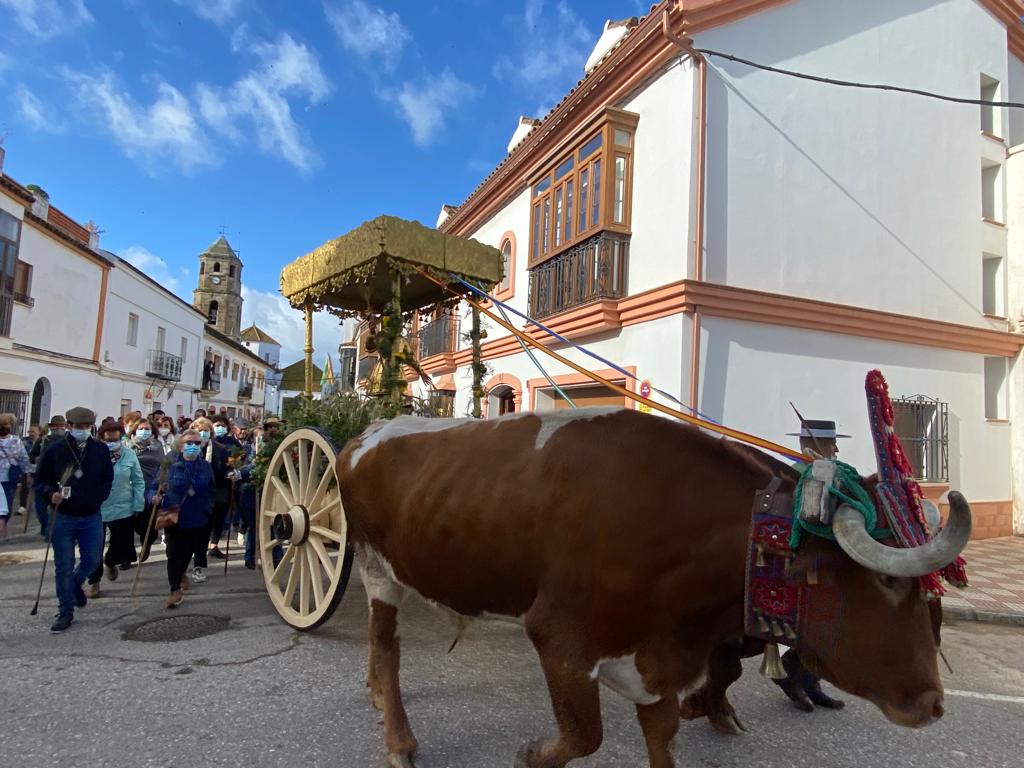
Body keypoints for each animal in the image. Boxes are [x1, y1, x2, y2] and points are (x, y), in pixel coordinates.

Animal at [335, 408, 970, 768]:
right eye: (888, 580)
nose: (935, 705)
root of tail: (370, 432)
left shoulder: (663, 661)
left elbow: (665, 736)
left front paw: (709, 711)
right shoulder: (561, 639)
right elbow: (583, 736)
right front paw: (533, 753)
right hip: (377, 567)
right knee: (386, 646)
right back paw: (398, 738)